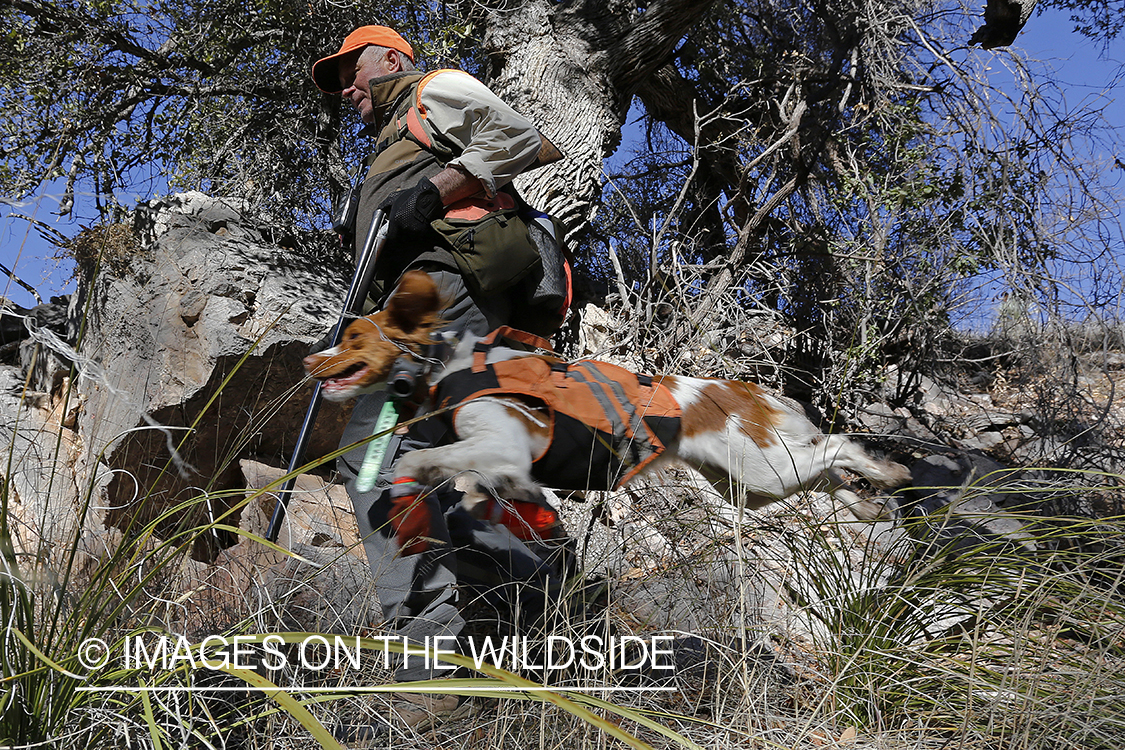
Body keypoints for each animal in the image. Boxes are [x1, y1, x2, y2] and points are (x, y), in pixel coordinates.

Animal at [303, 270, 909, 521]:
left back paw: (891, 472)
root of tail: (746, 389)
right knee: (828, 474)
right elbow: (458, 476)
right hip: (751, 484)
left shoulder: (506, 444)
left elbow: (425, 460)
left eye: (354, 340)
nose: (311, 360)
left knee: (840, 444)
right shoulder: (496, 460)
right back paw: (870, 502)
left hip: (760, 469)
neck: (455, 363)